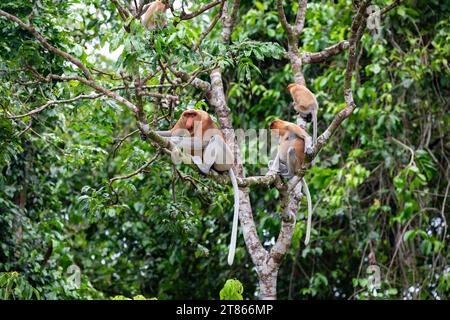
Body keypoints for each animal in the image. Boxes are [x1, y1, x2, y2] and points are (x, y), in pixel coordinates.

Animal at [156, 110, 239, 264]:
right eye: (187, 115)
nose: (189, 122)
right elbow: (172, 131)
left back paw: (204, 167)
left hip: (226, 160)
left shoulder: (204, 121)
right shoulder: (181, 121)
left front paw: (175, 140)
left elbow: (202, 140)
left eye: (193, 116)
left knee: (214, 139)